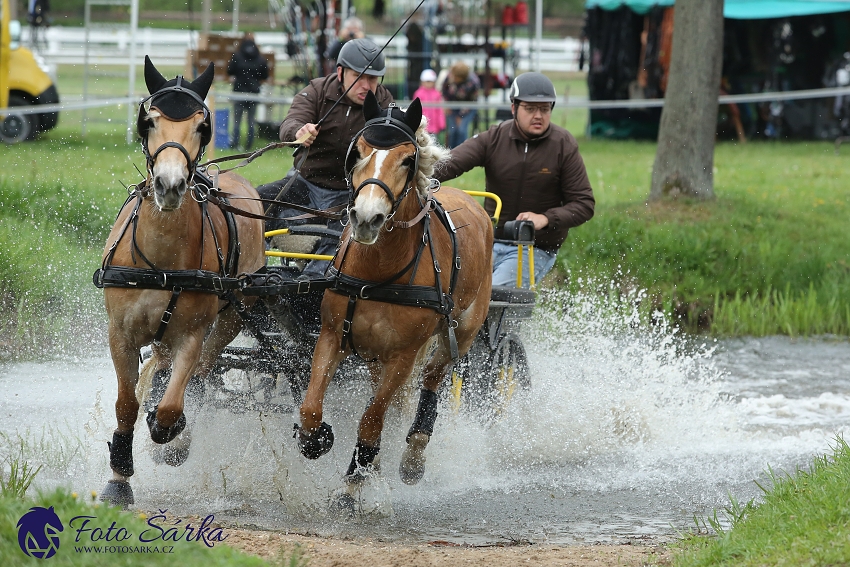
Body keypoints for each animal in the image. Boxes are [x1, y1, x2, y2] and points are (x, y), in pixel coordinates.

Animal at [93, 57, 266, 506]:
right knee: (160, 366)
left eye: (202, 126)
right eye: (148, 121)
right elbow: (126, 404)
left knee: (201, 371)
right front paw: (119, 478)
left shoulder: (191, 333)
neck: (161, 258)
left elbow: (172, 407)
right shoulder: (120, 333)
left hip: (232, 316)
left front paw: (170, 438)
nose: (169, 185)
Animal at [294, 91, 490, 504]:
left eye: (407, 159)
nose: (367, 217)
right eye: (357, 152)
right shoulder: (332, 334)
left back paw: (413, 454)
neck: (378, 272)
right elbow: (311, 406)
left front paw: (353, 483)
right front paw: (316, 440)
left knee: (431, 380)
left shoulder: (403, 355)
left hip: (460, 333)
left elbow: (372, 417)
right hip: (373, 353)